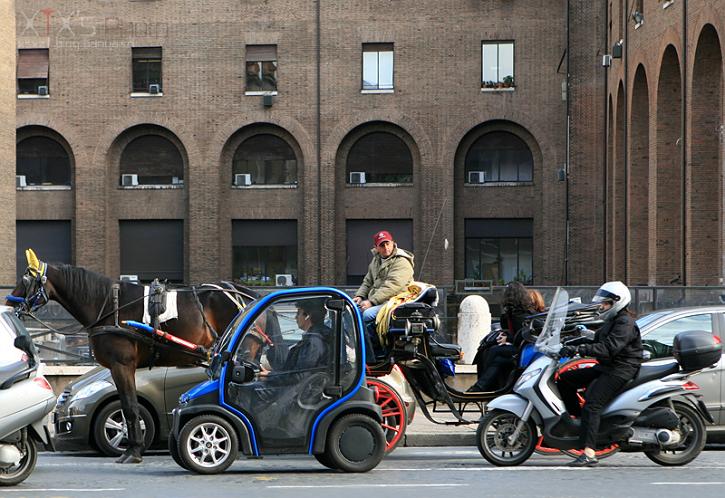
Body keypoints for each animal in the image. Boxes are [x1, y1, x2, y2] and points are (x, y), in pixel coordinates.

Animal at [5, 249, 266, 464]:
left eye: (26, 280)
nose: (8, 303)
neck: (110, 306)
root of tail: (245, 293)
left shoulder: (122, 365)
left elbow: (130, 407)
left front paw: (133, 451)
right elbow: (128, 405)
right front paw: (134, 446)